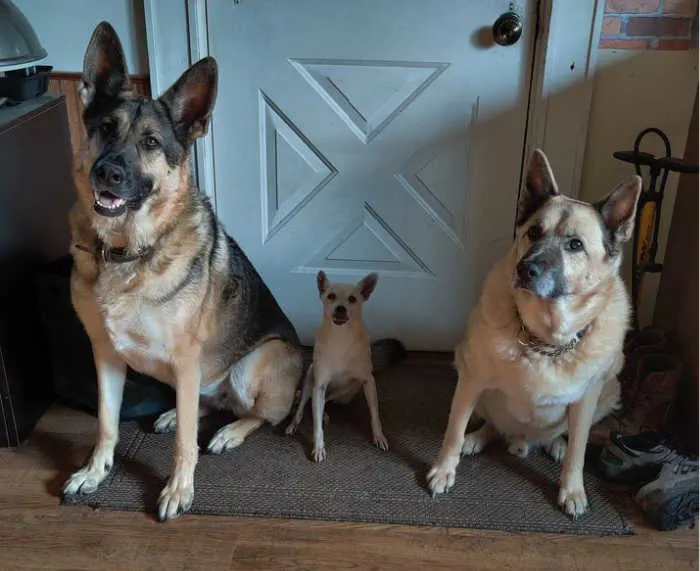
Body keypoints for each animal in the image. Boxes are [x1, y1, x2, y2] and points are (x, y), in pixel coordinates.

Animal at [65, 23, 304, 524]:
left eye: (151, 143)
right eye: (104, 128)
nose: (107, 173)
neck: (127, 251)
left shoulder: (187, 358)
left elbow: (184, 446)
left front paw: (178, 489)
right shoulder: (105, 356)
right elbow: (106, 423)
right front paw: (95, 471)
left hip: (253, 362)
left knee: (256, 413)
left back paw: (229, 431)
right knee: (204, 404)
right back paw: (179, 413)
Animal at [288, 270, 392, 462]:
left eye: (352, 299)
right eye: (331, 296)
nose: (340, 308)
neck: (341, 337)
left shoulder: (368, 382)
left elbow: (375, 414)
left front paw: (379, 436)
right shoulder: (319, 385)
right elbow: (316, 426)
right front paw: (318, 447)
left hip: (348, 391)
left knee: (326, 400)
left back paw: (324, 414)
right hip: (310, 379)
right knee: (305, 404)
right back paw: (294, 424)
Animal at [424, 149, 644, 520]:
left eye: (575, 245)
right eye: (533, 232)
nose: (524, 269)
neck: (545, 339)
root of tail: (522, 442)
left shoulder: (587, 399)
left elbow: (579, 453)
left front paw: (572, 489)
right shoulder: (471, 379)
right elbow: (453, 431)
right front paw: (444, 470)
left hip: (609, 392)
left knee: (567, 437)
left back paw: (554, 443)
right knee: (490, 423)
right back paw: (478, 437)